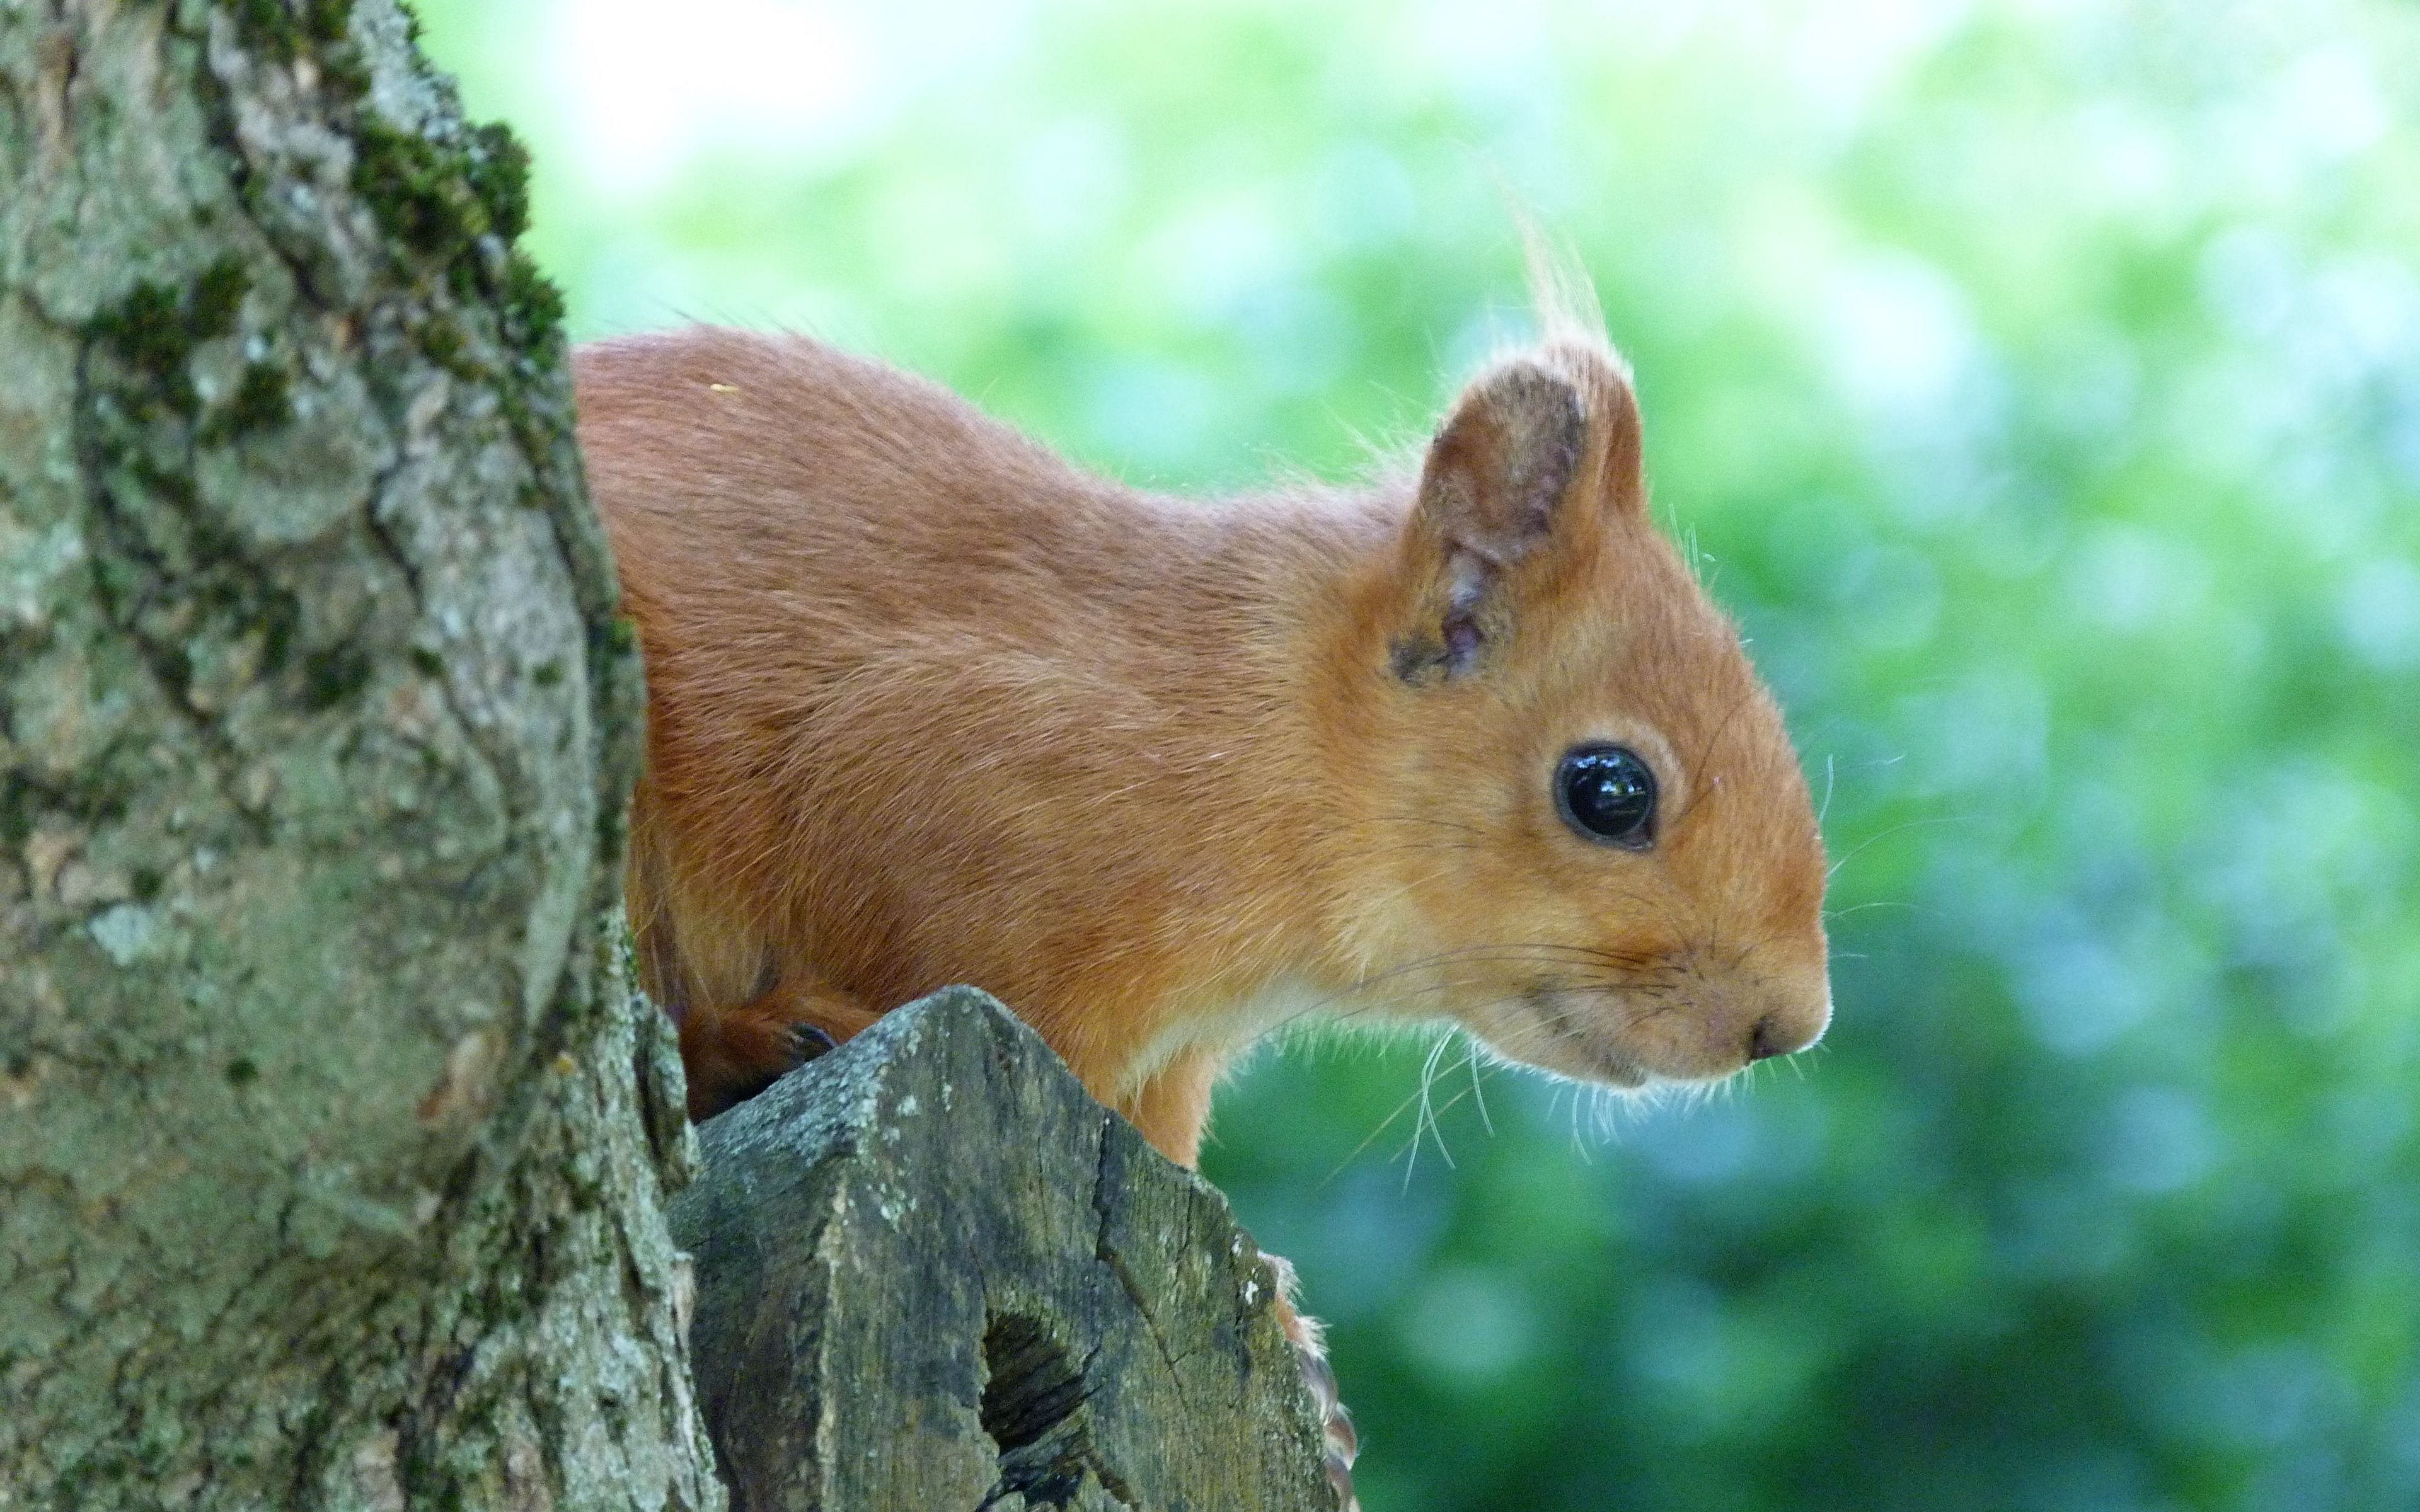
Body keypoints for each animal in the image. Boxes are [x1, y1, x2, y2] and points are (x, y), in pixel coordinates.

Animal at [574, 289, 1831, 1507]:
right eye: (1608, 790)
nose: (1789, 1025)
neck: (1250, 734)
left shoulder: (1162, 1075)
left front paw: (1284, 1328)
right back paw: (750, 1039)